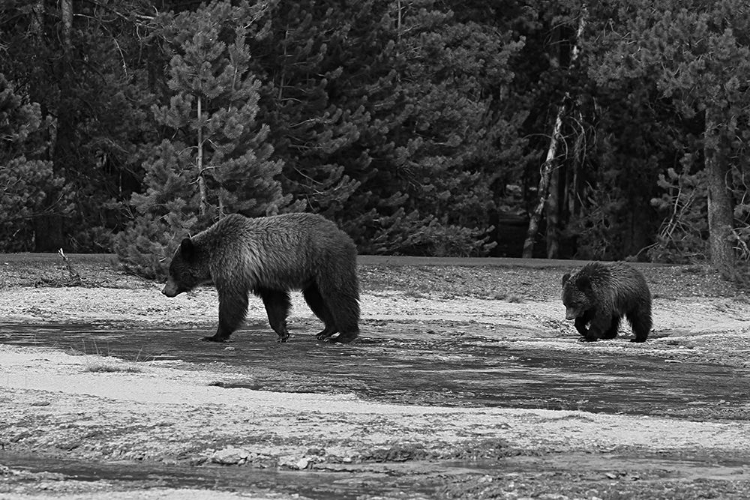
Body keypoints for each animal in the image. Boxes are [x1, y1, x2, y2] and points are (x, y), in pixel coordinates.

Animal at [164, 211, 362, 344]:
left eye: (172, 272)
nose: (165, 291)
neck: (211, 257)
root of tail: (342, 233)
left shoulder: (232, 263)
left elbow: (232, 301)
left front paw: (215, 335)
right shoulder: (264, 276)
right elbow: (275, 302)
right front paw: (282, 333)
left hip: (328, 259)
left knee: (338, 293)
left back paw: (345, 334)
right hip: (313, 274)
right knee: (316, 298)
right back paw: (326, 330)